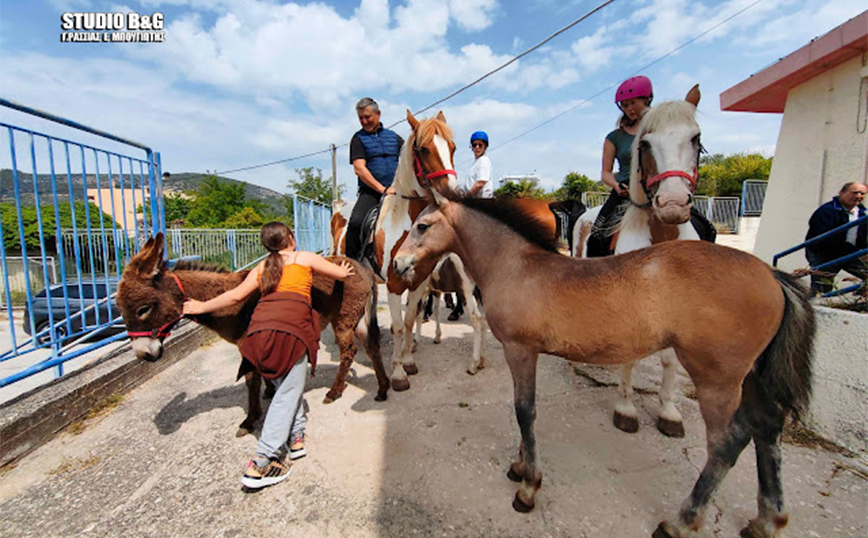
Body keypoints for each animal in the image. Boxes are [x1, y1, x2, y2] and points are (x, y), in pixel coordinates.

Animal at [393, 191, 815, 538]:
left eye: (423, 226)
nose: (397, 265)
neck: (516, 266)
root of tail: (773, 276)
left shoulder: (520, 350)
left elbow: (524, 411)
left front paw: (528, 486)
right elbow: (524, 411)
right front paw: (518, 466)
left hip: (717, 379)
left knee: (727, 443)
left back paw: (681, 522)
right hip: (752, 377)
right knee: (767, 428)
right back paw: (767, 520)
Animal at [572, 85, 711, 438]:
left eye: (695, 138)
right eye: (645, 144)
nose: (672, 203)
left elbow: (669, 361)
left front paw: (669, 412)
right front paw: (626, 409)